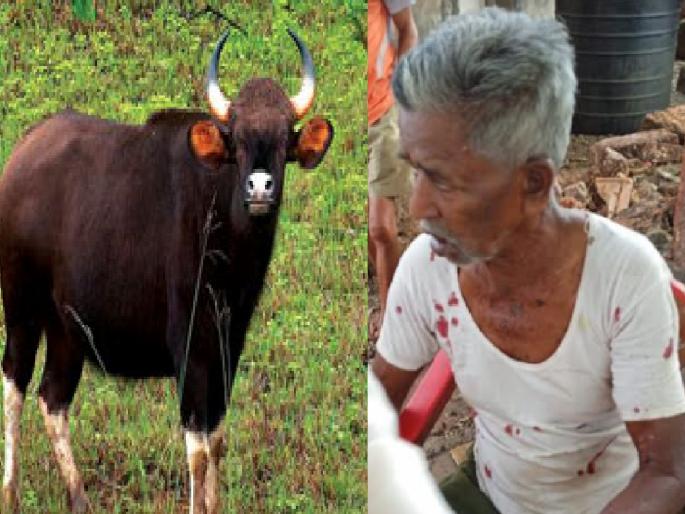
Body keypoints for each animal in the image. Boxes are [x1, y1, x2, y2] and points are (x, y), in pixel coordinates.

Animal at [0, 29, 333, 514]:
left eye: (281, 140)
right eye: (238, 141)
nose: (259, 189)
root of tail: (20, 157)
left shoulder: (228, 348)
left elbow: (218, 441)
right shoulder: (190, 348)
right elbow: (197, 452)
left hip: (67, 329)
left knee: (53, 398)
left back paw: (78, 498)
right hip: (21, 307)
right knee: (14, 386)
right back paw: (10, 492)